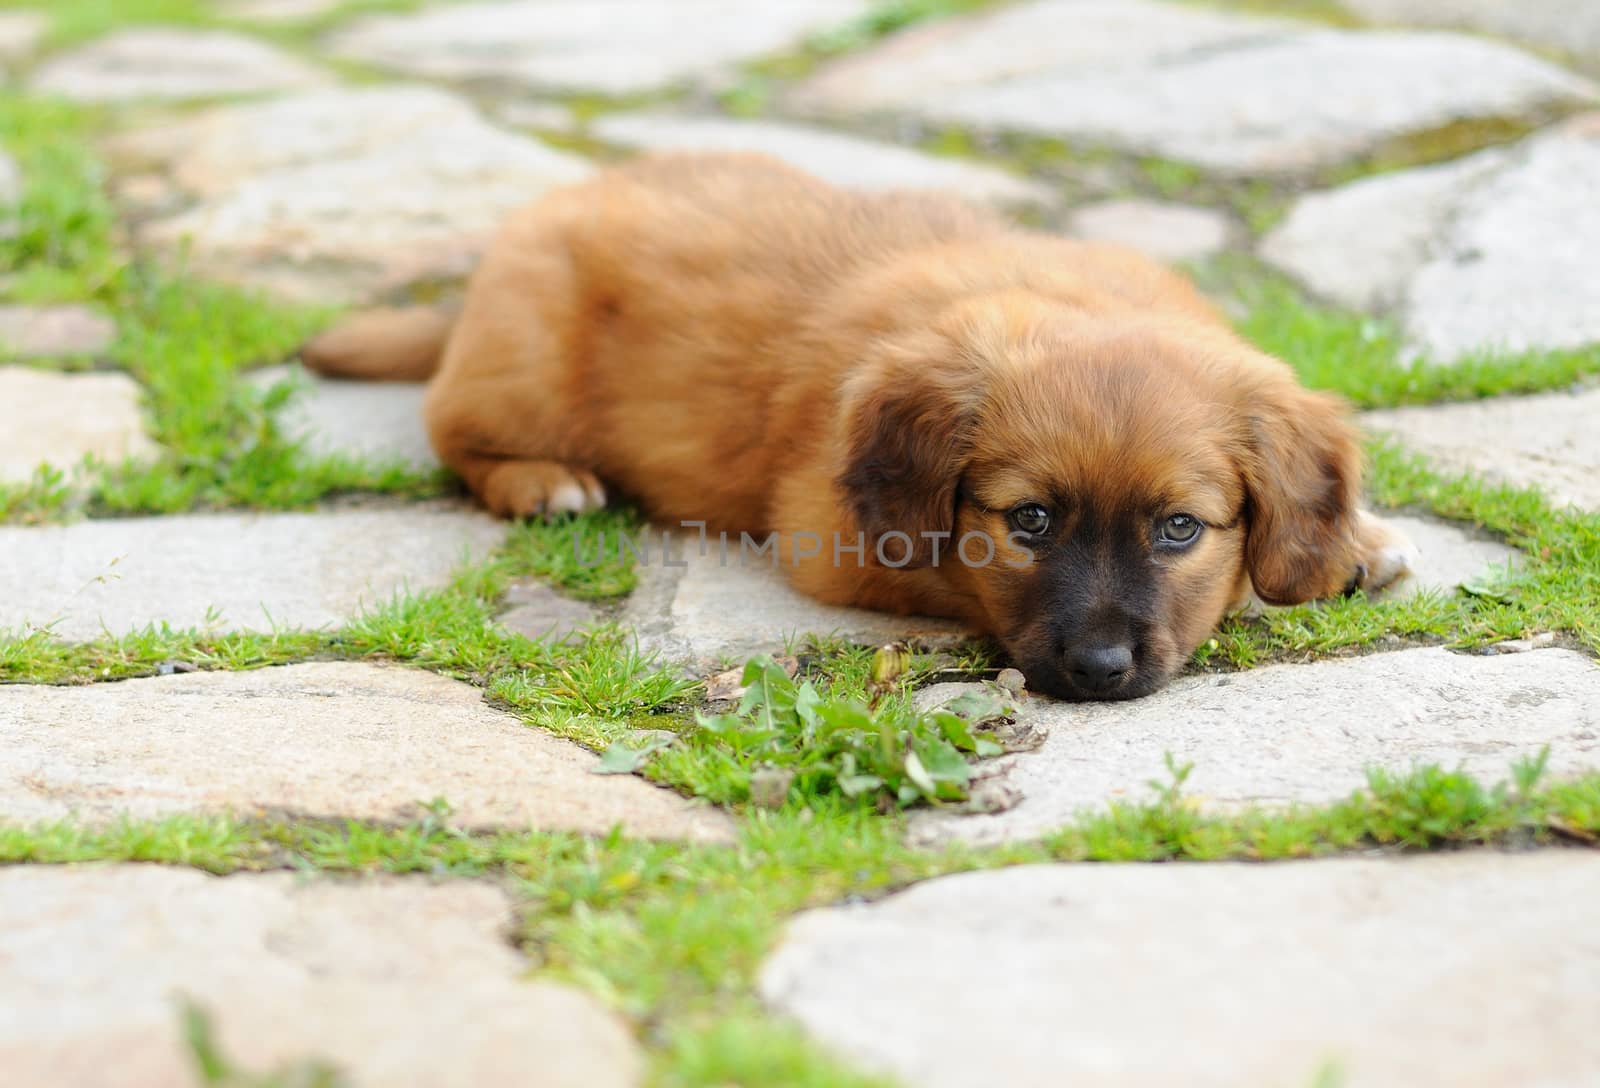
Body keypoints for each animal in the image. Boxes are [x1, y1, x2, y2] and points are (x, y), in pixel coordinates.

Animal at [302, 151, 1414, 697]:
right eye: (1030, 521)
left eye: (1180, 528)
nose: (1099, 673)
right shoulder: (830, 538)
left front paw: (1349, 544)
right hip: (523, 363)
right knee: (451, 429)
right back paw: (543, 479)